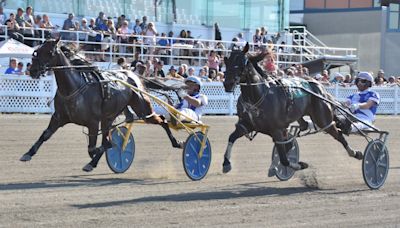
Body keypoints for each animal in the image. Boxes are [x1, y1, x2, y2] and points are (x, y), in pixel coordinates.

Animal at [18, 38, 181, 171]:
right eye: (37, 51)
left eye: (49, 52)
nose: (33, 70)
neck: (74, 87)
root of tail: (133, 75)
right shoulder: (59, 117)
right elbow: (45, 135)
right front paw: (28, 153)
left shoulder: (93, 122)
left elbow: (93, 147)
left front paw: (97, 155)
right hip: (110, 117)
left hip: (143, 109)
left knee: (162, 120)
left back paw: (177, 143)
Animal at [222, 42, 362, 174]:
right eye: (227, 61)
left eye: (241, 62)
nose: (228, 83)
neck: (258, 96)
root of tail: (318, 85)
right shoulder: (246, 125)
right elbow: (231, 137)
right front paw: (226, 163)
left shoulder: (277, 130)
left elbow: (284, 159)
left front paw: (300, 165)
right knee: (305, 125)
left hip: (323, 119)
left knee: (338, 134)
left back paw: (355, 153)